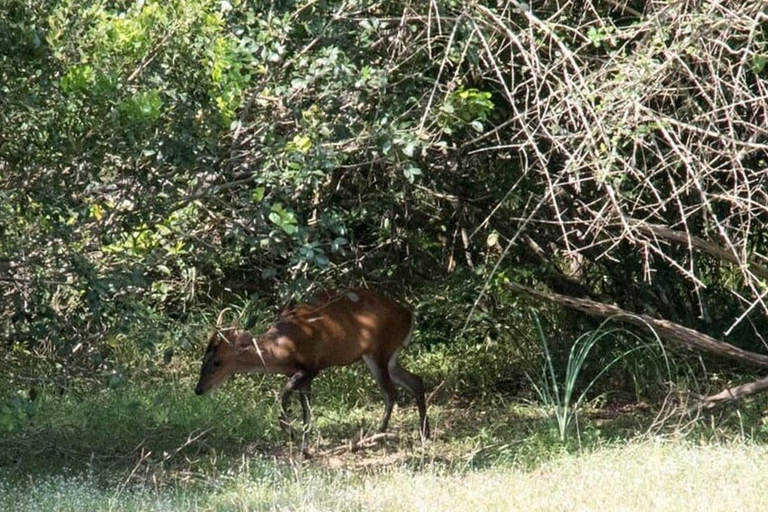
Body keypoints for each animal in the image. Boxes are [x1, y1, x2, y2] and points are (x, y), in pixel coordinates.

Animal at [195, 288, 428, 440]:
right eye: (203, 360)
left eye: (217, 362)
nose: (198, 389)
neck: (282, 347)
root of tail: (410, 315)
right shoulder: (298, 373)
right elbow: (306, 406)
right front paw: (305, 439)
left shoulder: (312, 367)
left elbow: (286, 396)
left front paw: (290, 430)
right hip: (389, 356)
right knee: (415, 380)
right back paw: (424, 431)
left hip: (379, 351)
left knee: (390, 392)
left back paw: (377, 434)